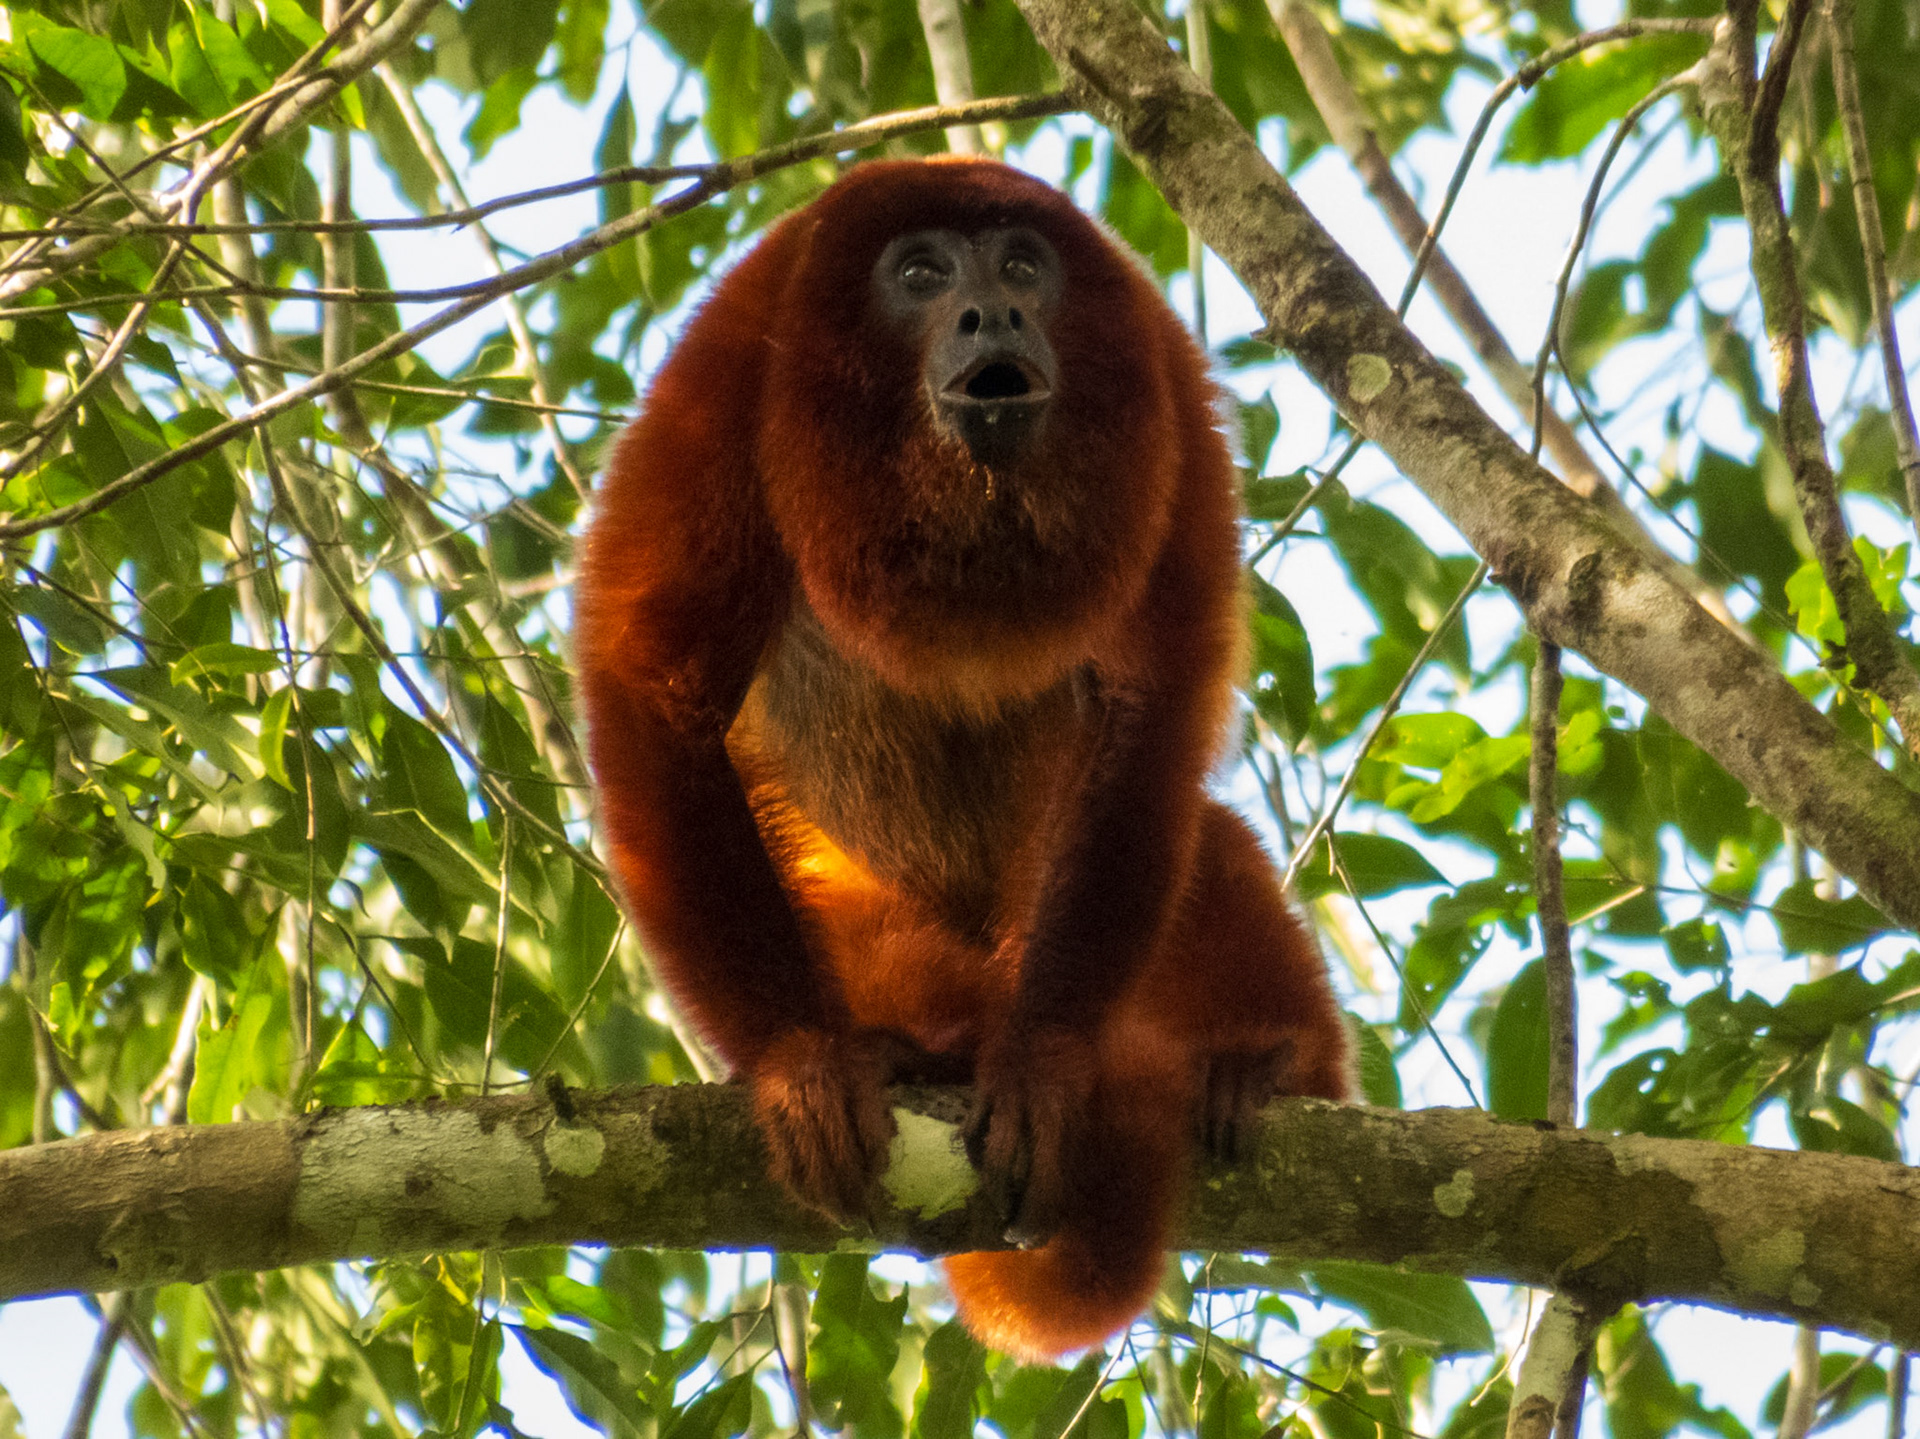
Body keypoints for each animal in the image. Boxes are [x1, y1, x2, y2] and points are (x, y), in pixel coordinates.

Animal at [575, 156, 1352, 1360]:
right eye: (923, 274)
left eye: (1023, 266)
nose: (995, 312)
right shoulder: (731, 361)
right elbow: (657, 681)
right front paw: (801, 1057)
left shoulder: (1163, 380)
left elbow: (1152, 697)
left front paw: (1042, 1057)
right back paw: (918, 1044)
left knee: (1207, 843)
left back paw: (1263, 1057)